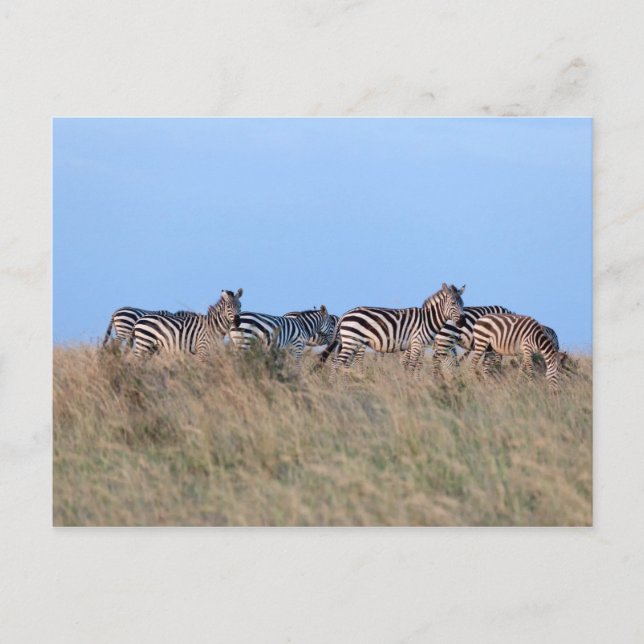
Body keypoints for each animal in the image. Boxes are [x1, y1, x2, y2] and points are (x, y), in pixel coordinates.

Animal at [319, 283, 466, 373]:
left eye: (463, 304)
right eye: (453, 303)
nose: (463, 322)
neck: (428, 319)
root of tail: (345, 314)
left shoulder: (416, 345)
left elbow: (412, 365)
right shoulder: (417, 343)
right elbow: (412, 366)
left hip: (351, 343)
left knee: (341, 363)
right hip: (351, 341)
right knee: (337, 363)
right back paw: (334, 386)